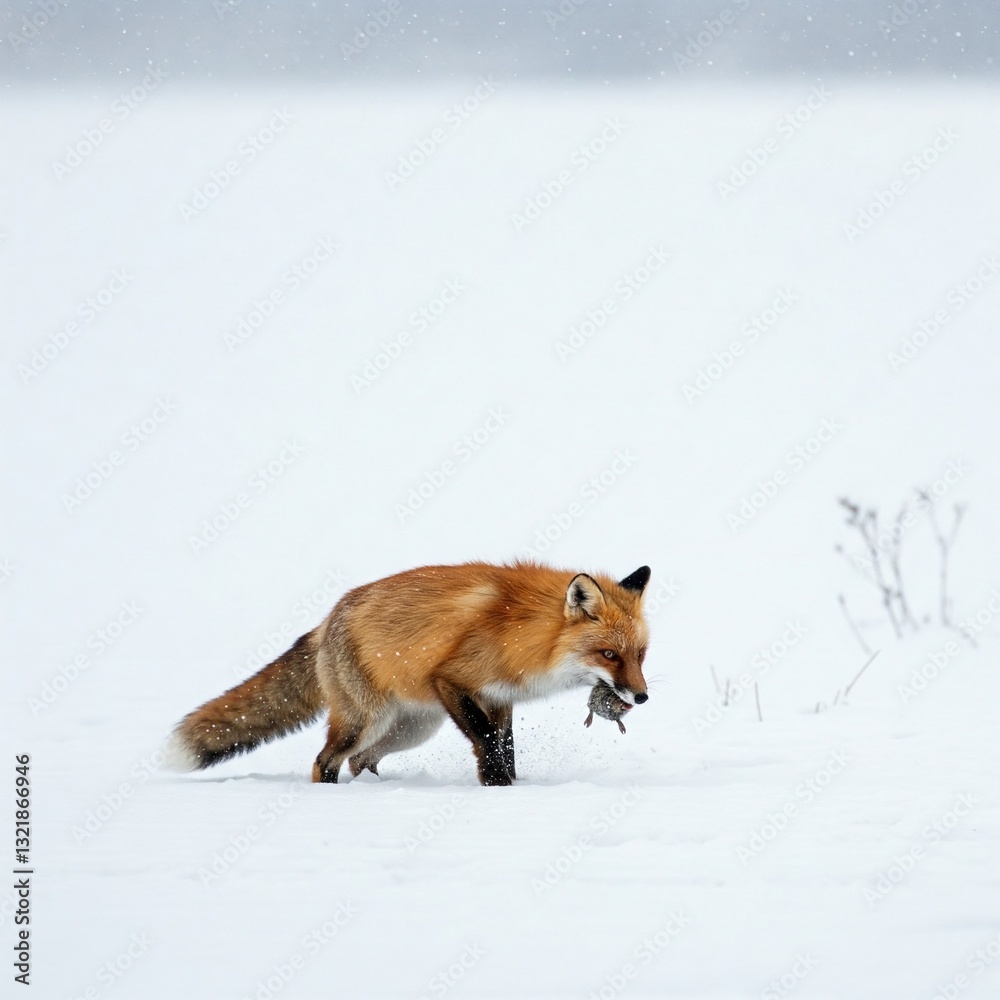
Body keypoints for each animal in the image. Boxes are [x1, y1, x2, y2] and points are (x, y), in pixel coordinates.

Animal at [168, 560, 652, 786]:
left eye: (640, 655)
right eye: (609, 654)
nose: (642, 697)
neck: (524, 630)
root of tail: (327, 621)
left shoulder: (499, 697)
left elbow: (505, 745)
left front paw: (510, 783)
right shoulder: (452, 680)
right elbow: (485, 742)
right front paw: (497, 785)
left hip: (412, 728)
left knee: (360, 761)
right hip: (366, 721)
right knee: (326, 760)